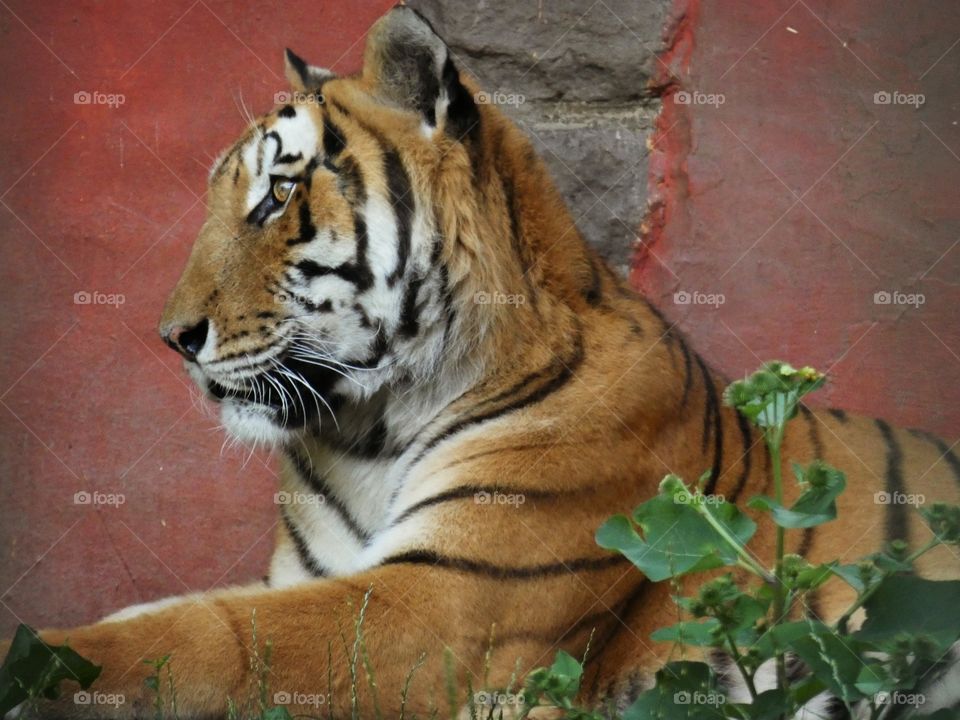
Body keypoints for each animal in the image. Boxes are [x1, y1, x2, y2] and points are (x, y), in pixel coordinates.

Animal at [5, 6, 959, 719]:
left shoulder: (440, 607)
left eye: (278, 192)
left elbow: (207, 637)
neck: (366, 431)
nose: (172, 337)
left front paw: (42, 662)